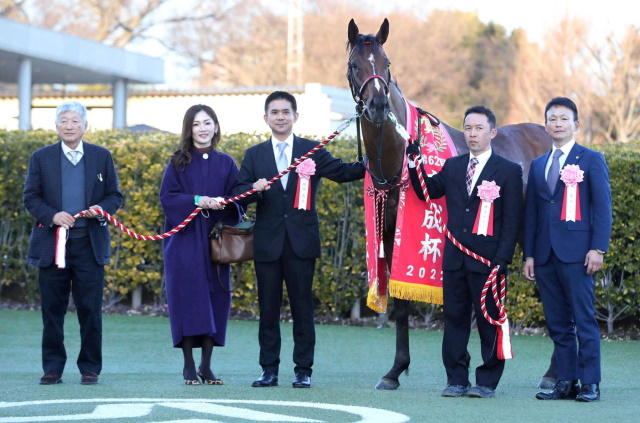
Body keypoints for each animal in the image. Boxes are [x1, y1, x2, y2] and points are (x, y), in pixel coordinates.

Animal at [348, 19, 556, 390]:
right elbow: (402, 301)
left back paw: (553, 376)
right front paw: (395, 370)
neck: (396, 161)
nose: (378, 107)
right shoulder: (391, 231)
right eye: (355, 65)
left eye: (386, 63)